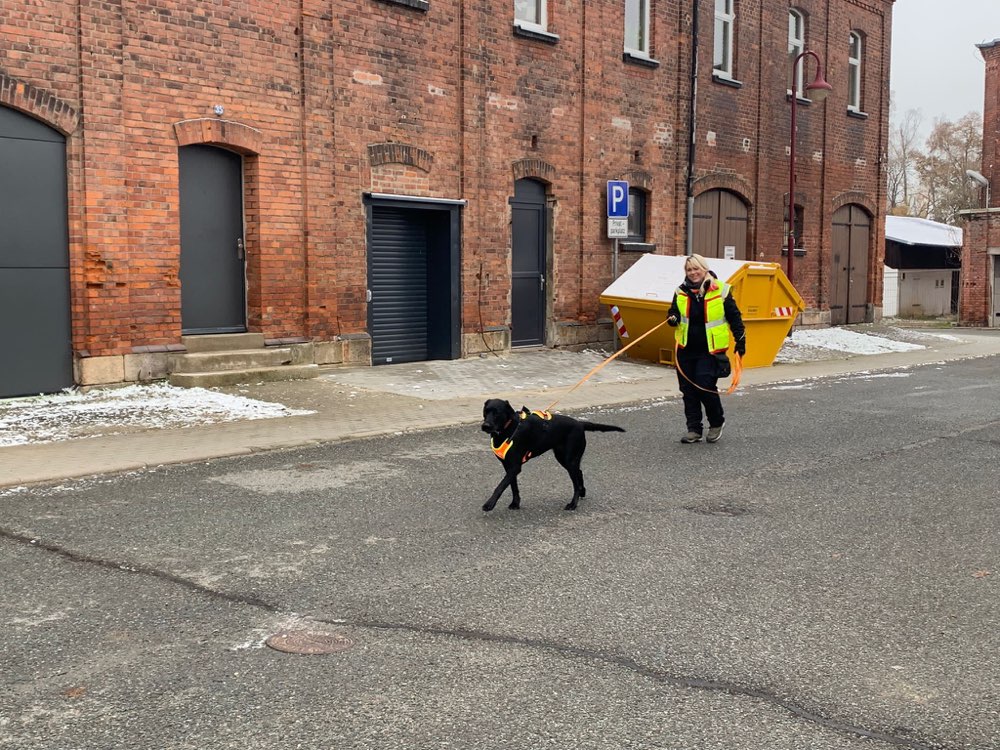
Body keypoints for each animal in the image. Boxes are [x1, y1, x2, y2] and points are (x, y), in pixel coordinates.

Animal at [478, 396, 624, 516]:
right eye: (486, 411)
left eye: (497, 412)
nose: (485, 426)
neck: (508, 429)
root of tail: (580, 424)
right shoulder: (508, 466)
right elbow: (513, 486)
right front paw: (515, 503)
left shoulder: (515, 467)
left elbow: (500, 486)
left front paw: (489, 504)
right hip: (564, 457)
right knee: (580, 472)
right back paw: (582, 491)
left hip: (569, 459)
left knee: (576, 482)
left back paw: (573, 504)